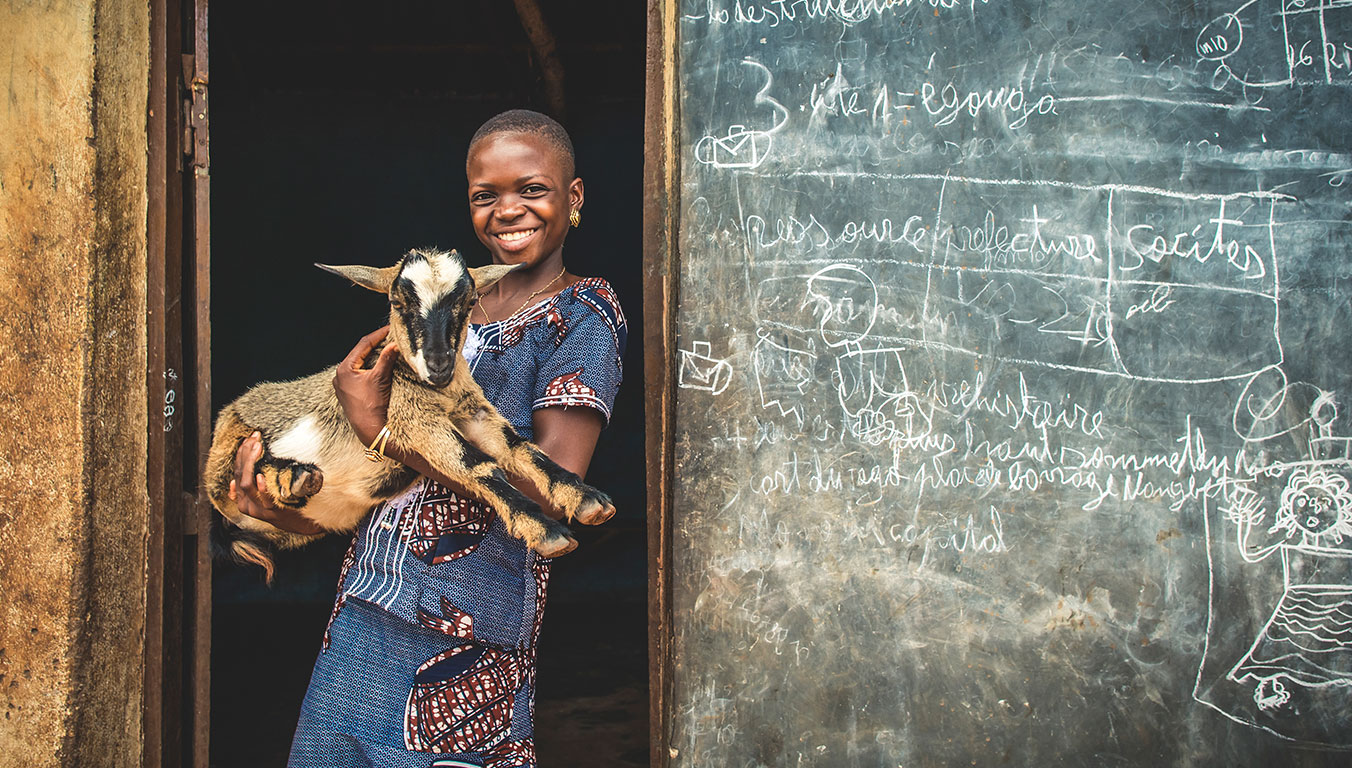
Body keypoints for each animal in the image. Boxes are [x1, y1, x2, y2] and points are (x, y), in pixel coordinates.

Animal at [202, 247, 616, 581]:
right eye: (398, 303)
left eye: (469, 302)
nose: (439, 365)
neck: (439, 391)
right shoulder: (413, 418)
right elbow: (477, 464)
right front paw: (545, 530)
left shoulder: (473, 413)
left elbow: (521, 449)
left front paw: (585, 498)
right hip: (229, 443)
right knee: (233, 474)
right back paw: (292, 475)